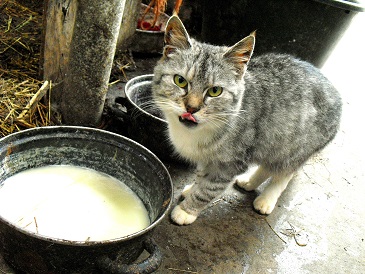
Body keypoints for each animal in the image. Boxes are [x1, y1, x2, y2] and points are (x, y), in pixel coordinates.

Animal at [151, 15, 342, 225]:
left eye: (215, 91)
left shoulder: (230, 163)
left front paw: (188, 210)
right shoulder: (207, 157)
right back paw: (249, 182)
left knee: (283, 173)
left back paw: (267, 199)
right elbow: (201, 176)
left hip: (294, 149)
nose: (192, 108)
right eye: (180, 81)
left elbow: (208, 189)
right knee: (268, 165)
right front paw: (193, 188)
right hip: (274, 143)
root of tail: (335, 92)